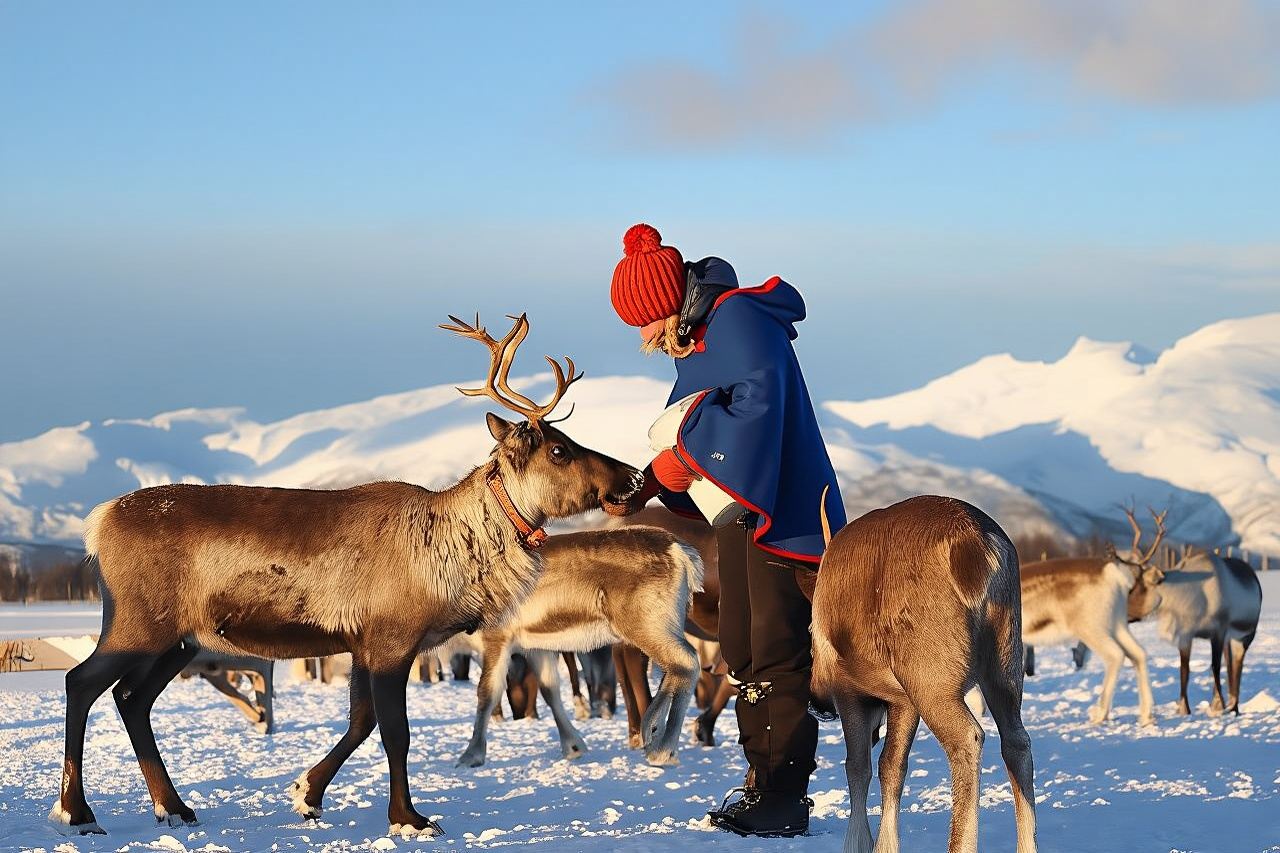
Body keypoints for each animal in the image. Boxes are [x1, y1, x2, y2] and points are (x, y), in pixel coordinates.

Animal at [51, 313, 643, 839]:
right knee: (81, 682)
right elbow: (395, 734)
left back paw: (173, 807)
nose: (633, 476)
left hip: (180, 640)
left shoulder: (361, 644)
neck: (453, 547)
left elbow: (361, 723)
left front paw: (306, 794)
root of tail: (97, 522)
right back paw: (78, 812)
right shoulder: (391, 640)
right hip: (138, 624)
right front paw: (408, 818)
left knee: (132, 699)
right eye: (560, 449)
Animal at [453, 525, 702, 768]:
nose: (518, 715)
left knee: (687, 662)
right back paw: (653, 730)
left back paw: (662, 749)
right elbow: (549, 689)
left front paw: (471, 755)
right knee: (674, 668)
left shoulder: (496, 636)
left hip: (645, 625)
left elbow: (487, 692)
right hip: (665, 626)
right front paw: (572, 746)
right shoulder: (534, 646)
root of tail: (682, 552)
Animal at [811, 493, 1036, 853]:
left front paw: (859, 842)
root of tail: (979, 546)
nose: (817, 703)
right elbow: (891, 766)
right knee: (1017, 742)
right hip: (1005, 665)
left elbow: (858, 767)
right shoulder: (902, 699)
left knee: (969, 738)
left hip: (932, 681)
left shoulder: (850, 690)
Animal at [1018, 505, 1166, 727]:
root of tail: (1115, 575)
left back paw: (1100, 713)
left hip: (1091, 628)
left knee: (1115, 655)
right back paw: (1146, 715)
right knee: (1138, 653)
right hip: (1117, 624)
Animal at [1126, 548, 1262, 716]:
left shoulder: (1218, 631)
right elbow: (1184, 670)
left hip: (1245, 636)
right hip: (1229, 640)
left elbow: (1215, 667)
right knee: (1230, 663)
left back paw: (1234, 707)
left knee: (1238, 665)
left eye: (1136, 587)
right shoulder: (1186, 635)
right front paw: (1184, 709)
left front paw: (1218, 705)